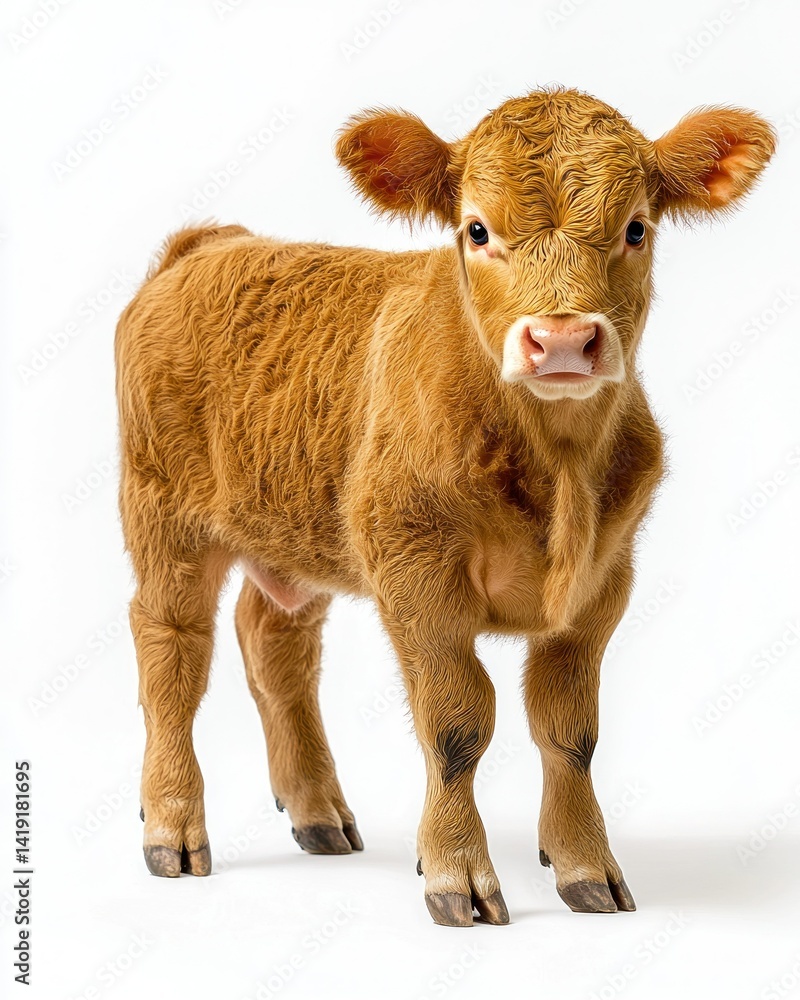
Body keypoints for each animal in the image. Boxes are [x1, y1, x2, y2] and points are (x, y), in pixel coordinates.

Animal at [115, 87, 775, 926]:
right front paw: (456, 872)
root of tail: (212, 242)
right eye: (477, 229)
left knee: (275, 643)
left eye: (636, 227)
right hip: (166, 517)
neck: (557, 468)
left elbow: (570, 730)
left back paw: (318, 814)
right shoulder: (417, 574)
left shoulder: (602, 584)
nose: (563, 341)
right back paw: (171, 827)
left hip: (299, 527)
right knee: (172, 651)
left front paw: (585, 867)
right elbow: (457, 724)